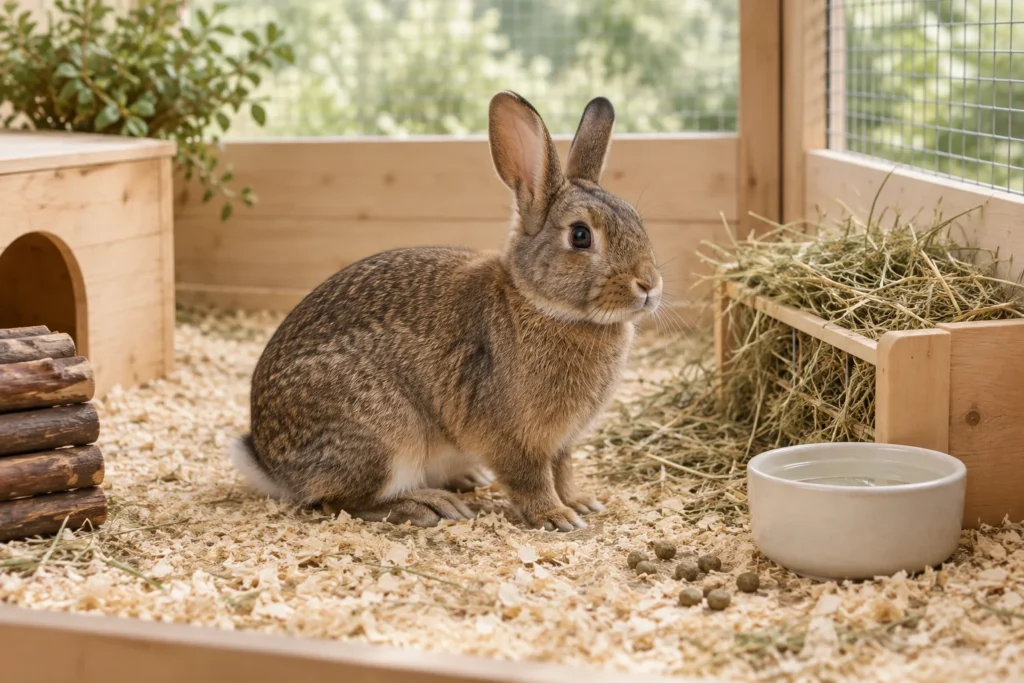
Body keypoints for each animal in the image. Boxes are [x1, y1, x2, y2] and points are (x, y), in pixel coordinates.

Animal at [229, 91, 663, 531]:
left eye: (636, 220)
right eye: (580, 236)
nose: (648, 284)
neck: (539, 303)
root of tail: (271, 464)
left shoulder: (561, 444)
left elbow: (564, 471)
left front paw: (581, 502)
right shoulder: (513, 438)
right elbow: (532, 478)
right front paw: (556, 515)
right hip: (384, 436)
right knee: (338, 502)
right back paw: (429, 506)